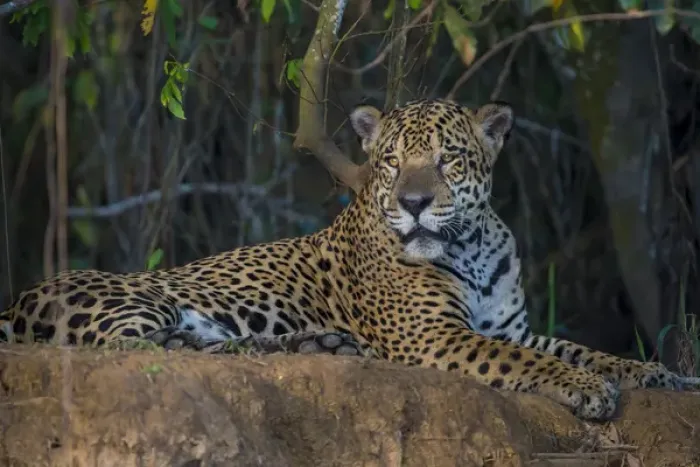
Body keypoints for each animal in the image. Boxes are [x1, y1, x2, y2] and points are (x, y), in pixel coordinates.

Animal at [0, 98, 682, 420]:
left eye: (448, 160)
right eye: (391, 162)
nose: (413, 203)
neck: (471, 247)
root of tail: (15, 300)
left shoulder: (506, 326)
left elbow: (574, 348)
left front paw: (657, 374)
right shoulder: (433, 337)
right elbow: (530, 362)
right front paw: (587, 390)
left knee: (203, 346)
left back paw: (317, 345)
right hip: (142, 298)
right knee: (148, 347)